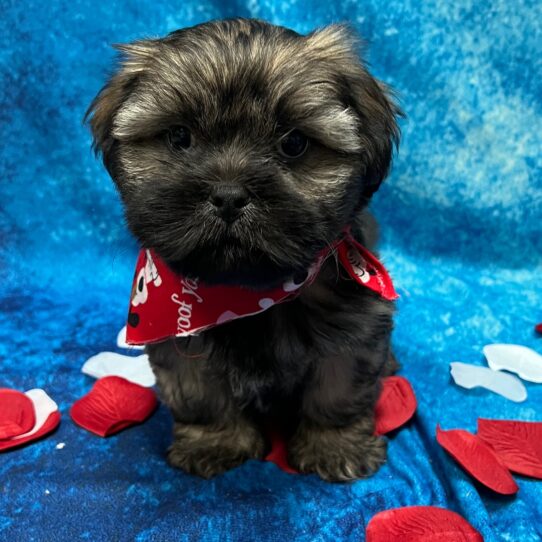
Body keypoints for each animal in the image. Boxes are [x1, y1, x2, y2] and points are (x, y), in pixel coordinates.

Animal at [87, 18, 402, 484]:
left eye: (294, 143)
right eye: (179, 136)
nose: (229, 196)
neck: (247, 294)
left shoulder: (354, 327)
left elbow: (338, 391)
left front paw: (334, 446)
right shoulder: (180, 340)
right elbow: (201, 394)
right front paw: (215, 442)